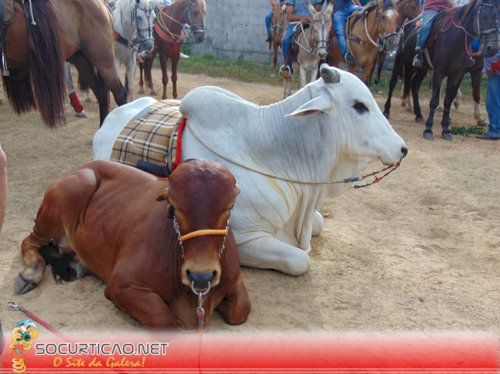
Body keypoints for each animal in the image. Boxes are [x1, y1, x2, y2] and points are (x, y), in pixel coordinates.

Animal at [15, 159, 250, 328]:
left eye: (230, 207)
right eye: (173, 207)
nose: (201, 275)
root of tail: (81, 167)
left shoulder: (234, 277)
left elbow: (241, 309)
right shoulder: (121, 285)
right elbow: (166, 322)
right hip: (62, 200)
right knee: (29, 241)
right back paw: (29, 275)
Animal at [384, 0, 498, 140]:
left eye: (497, 18)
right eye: (485, 17)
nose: (493, 48)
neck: (455, 39)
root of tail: (408, 24)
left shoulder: (460, 72)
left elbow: (453, 98)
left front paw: (446, 129)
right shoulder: (440, 71)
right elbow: (434, 99)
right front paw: (428, 129)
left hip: (421, 68)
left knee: (414, 84)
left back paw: (418, 114)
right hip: (401, 58)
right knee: (393, 82)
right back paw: (387, 111)